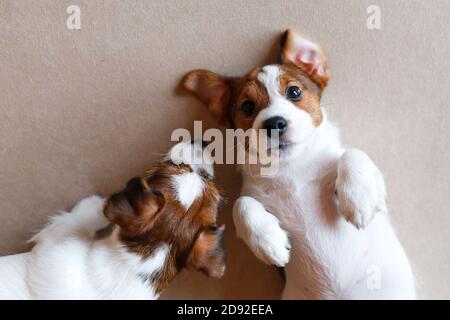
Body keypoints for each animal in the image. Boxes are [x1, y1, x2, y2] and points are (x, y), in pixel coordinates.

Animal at [0, 141, 225, 298]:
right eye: (182, 167)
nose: (204, 142)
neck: (135, 263)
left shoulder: (55, 239)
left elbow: (80, 218)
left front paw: (95, 203)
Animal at [182, 30, 414, 300]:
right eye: (247, 106)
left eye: (294, 92)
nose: (274, 123)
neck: (292, 168)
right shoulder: (251, 195)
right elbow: (241, 204)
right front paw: (269, 241)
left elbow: (353, 153)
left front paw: (359, 198)